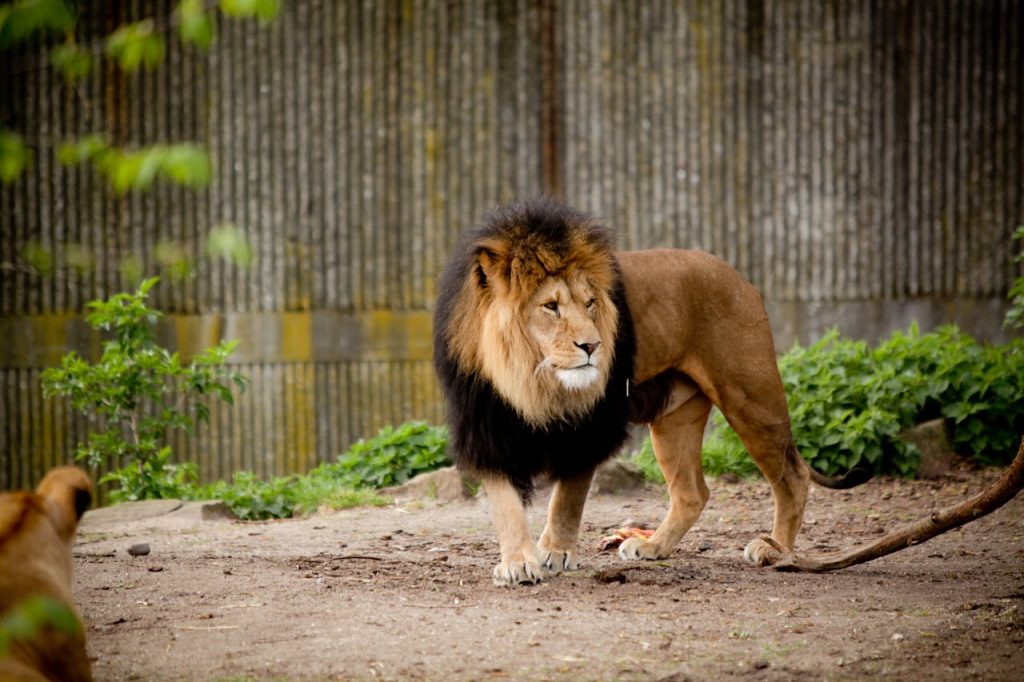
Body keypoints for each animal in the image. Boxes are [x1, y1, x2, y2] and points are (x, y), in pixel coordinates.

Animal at [433, 198, 869, 586]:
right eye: (551, 306)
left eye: (590, 303)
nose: (593, 346)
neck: (532, 378)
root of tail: (737, 275)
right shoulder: (485, 427)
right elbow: (506, 504)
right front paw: (519, 562)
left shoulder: (592, 426)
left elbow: (567, 499)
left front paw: (555, 550)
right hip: (675, 420)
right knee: (693, 492)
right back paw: (654, 547)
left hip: (751, 396)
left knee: (792, 475)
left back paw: (775, 549)